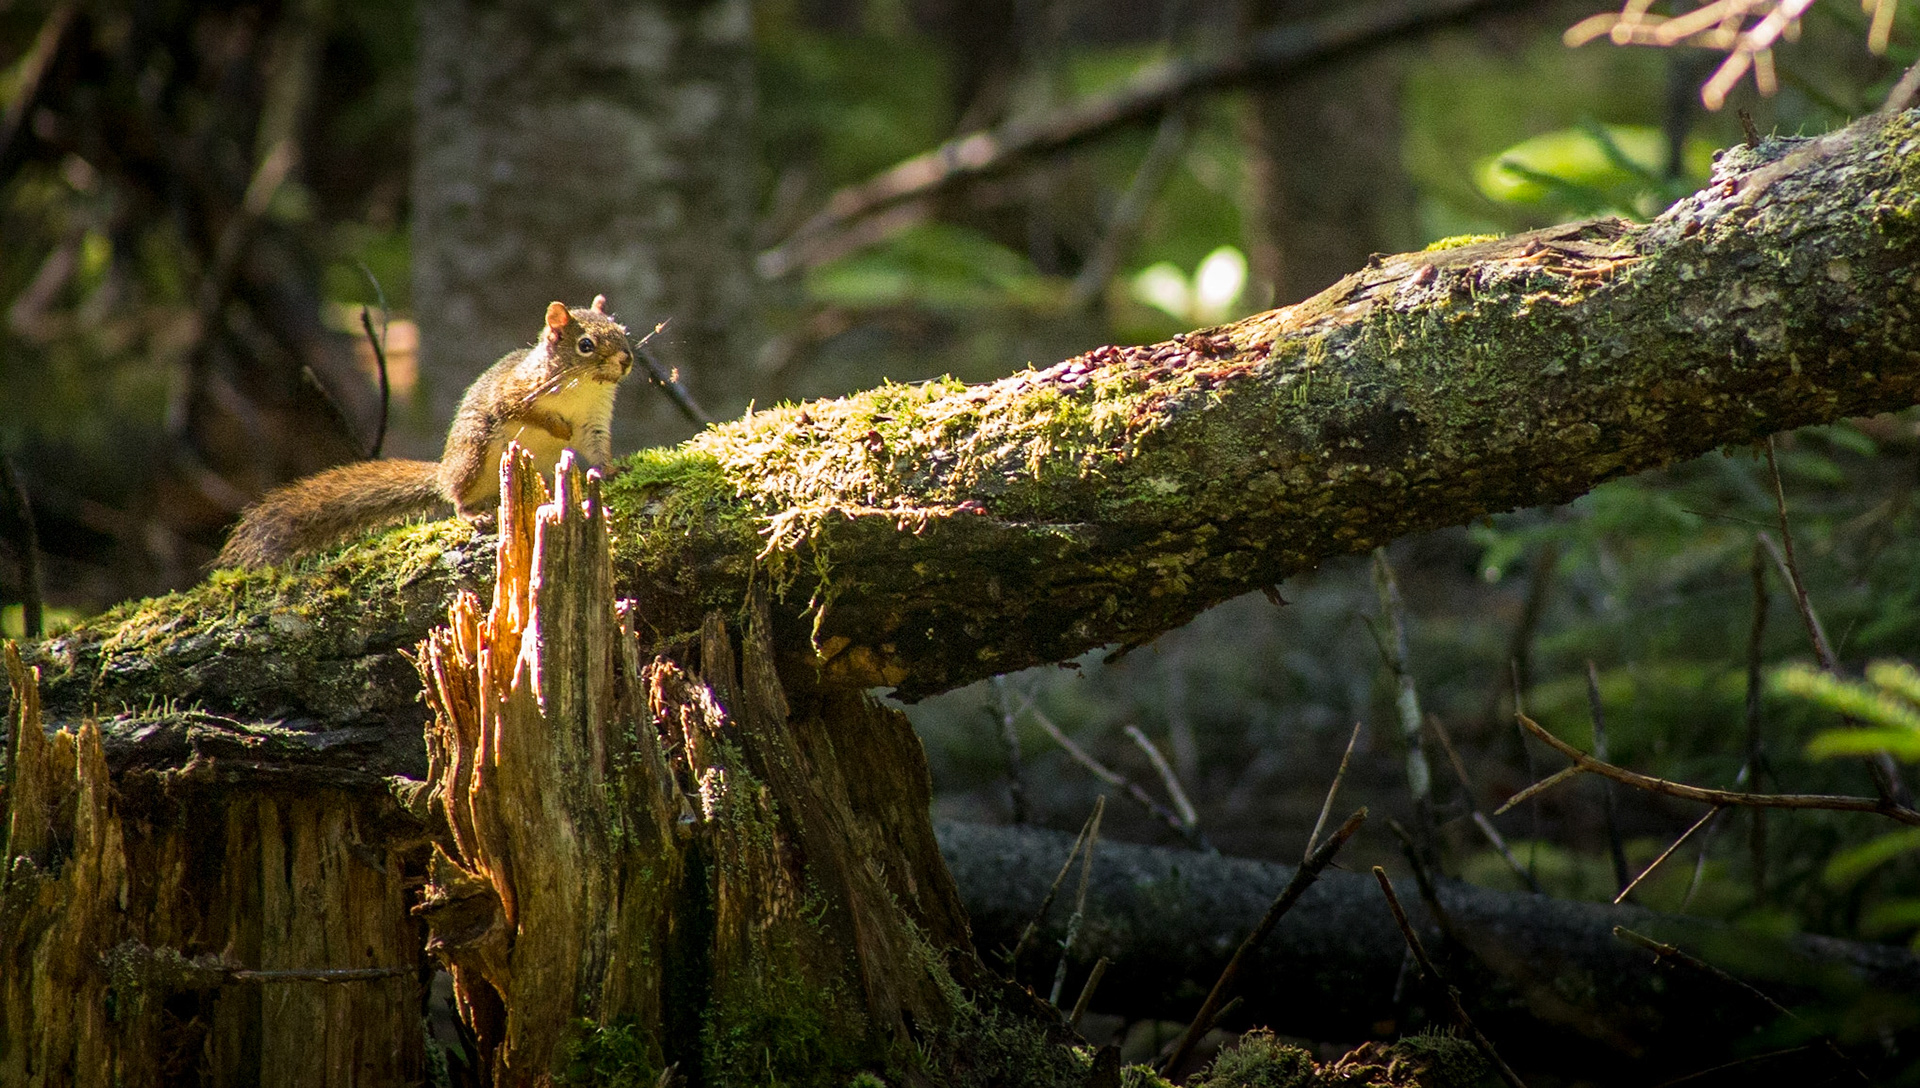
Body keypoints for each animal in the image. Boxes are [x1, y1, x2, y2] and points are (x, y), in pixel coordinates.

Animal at [215, 296, 634, 569]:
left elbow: (597, 447)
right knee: (457, 495)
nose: (627, 360)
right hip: (474, 454)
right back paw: (473, 513)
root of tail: (444, 471)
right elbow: (522, 410)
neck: (583, 388)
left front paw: (610, 470)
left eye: (623, 331)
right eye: (585, 345)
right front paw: (556, 425)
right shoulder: (514, 392)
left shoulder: (594, 421)